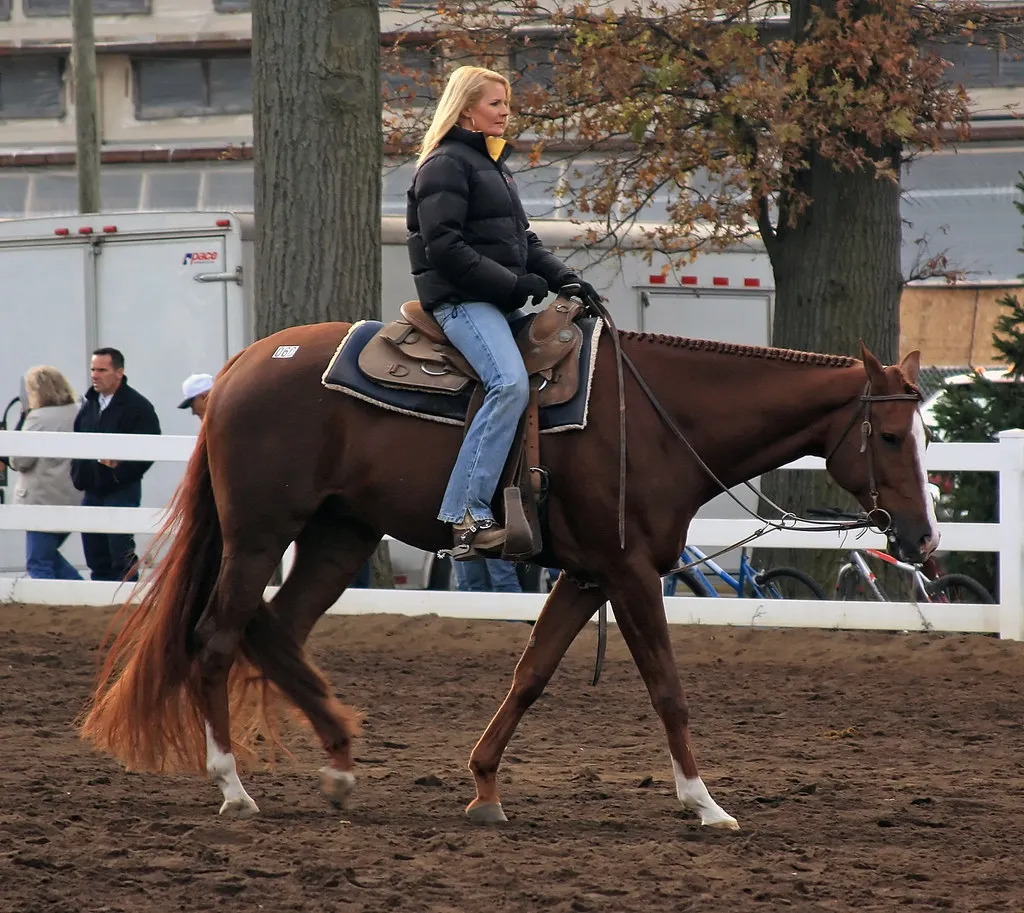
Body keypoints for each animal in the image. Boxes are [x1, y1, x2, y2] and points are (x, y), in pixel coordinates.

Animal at [80, 318, 937, 830]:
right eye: (893, 435)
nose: (924, 538)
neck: (656, 420)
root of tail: (240, 368)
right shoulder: (628, 572)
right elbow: (666, 686)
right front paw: (704, 801)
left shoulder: (587, 575)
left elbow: (531, 673)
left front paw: (485, 785)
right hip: (261, 533)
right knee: (217, 636)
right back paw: (233, 785)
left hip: (338, 536)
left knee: (276, 630)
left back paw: (340, 763)